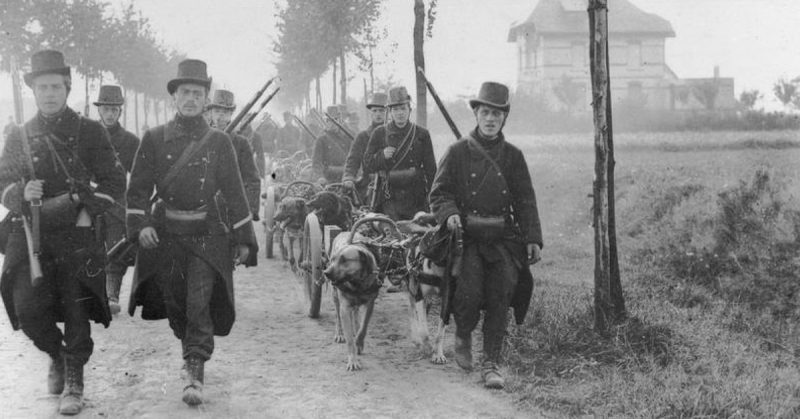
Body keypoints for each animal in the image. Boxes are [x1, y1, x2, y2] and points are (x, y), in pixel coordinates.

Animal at [320, 231, 380, 372]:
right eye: (333, 259)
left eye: (344, 260)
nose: (326, 272)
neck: (357, 284)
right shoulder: (345, 309)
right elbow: (349, 341)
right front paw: (352, 360)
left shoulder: (370, 304)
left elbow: (363, 327)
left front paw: (359, 341)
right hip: (335, 297)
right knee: (337, 317)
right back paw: (339, 334)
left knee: (356, 316)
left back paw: (355, 329)